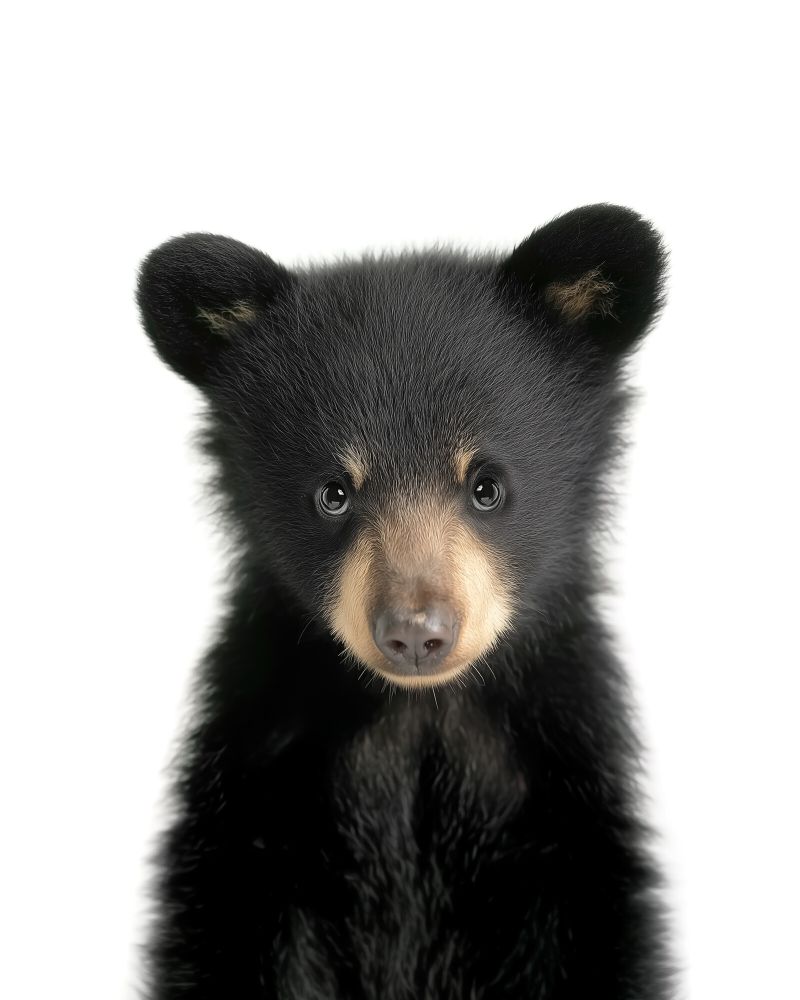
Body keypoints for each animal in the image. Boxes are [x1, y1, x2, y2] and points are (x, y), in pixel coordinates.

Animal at [136, 203, 673, 1000]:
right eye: (333, 493)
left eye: (488, 485)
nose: (417, 632)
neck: (420, 718)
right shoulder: (249, 813)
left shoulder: (570, 807)